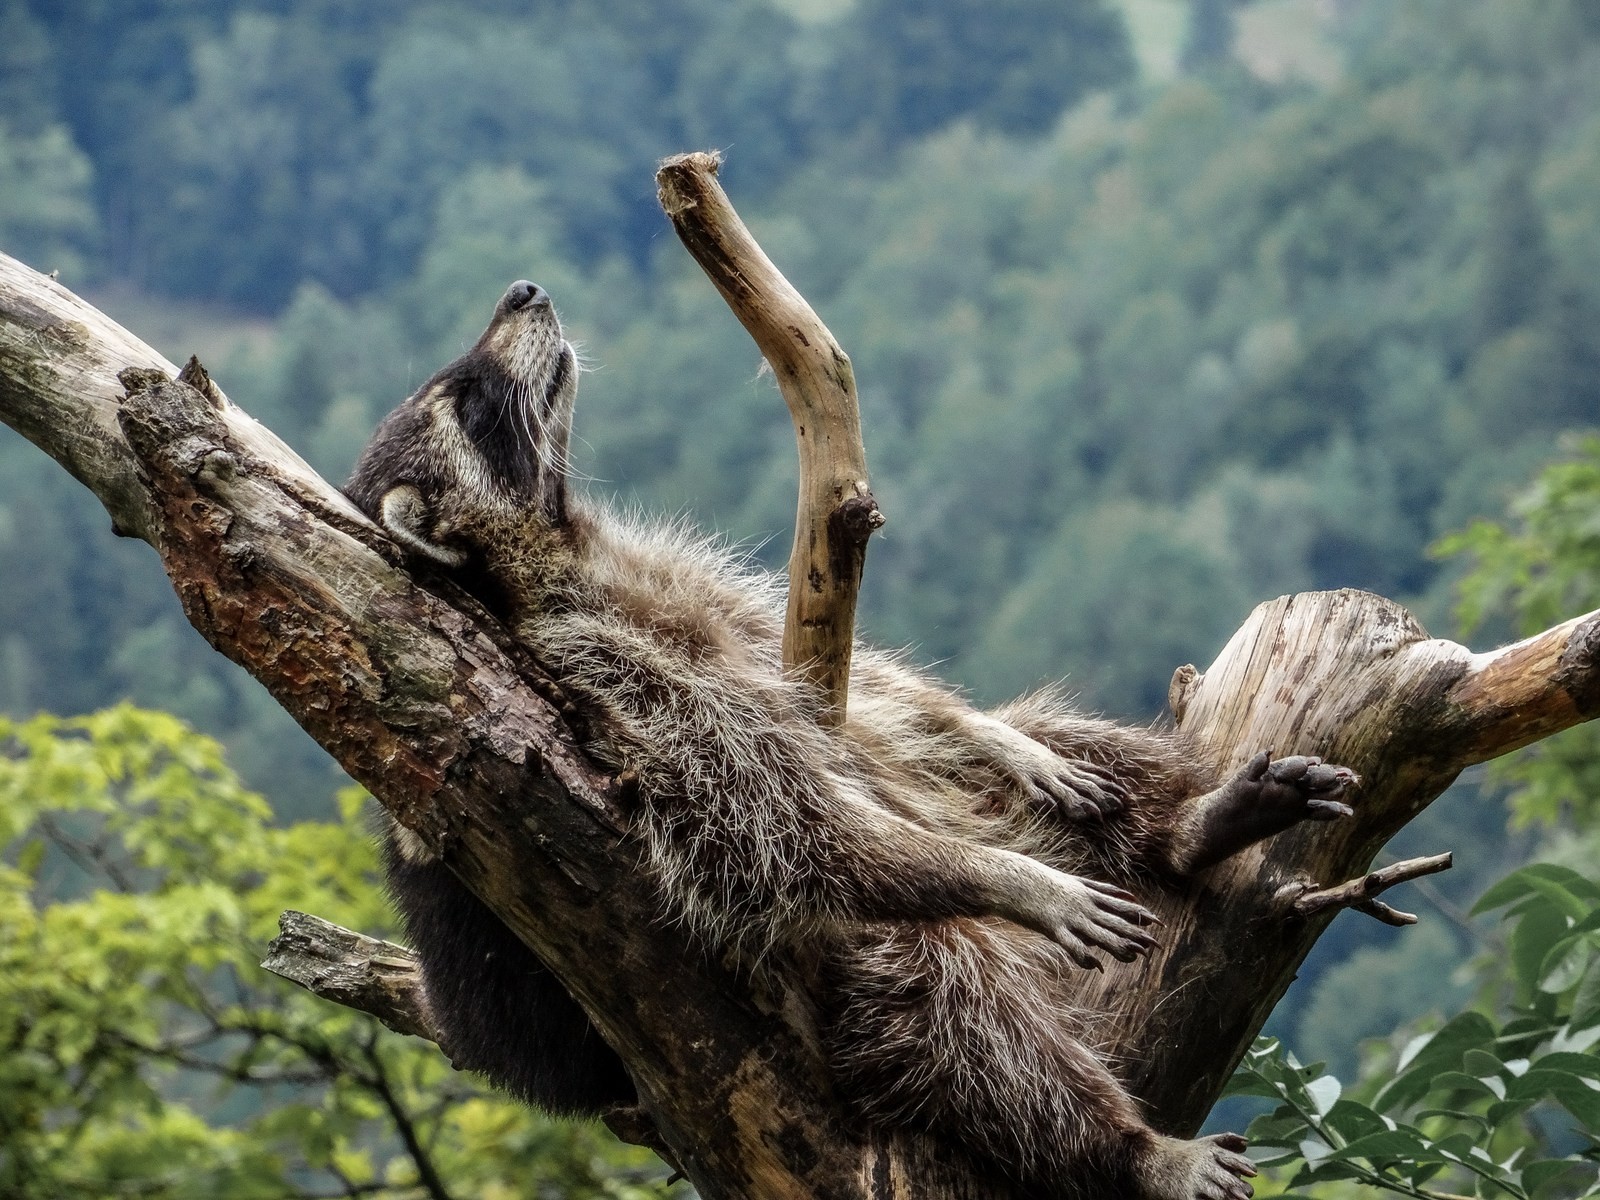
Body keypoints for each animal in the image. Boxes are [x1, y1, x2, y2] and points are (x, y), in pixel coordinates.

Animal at [344, 281, 1356, 1200]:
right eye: (471, 403)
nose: (523, 290)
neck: (554, 549)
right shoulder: (609, 670)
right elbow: (786, 831)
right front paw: (1008, 879)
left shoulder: (666, 577)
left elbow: (871, 690)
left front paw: (990, 732)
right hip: (873, 969)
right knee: (963, 1004)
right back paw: (1121, 1141)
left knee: (1036, 750)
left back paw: (1185, 821)